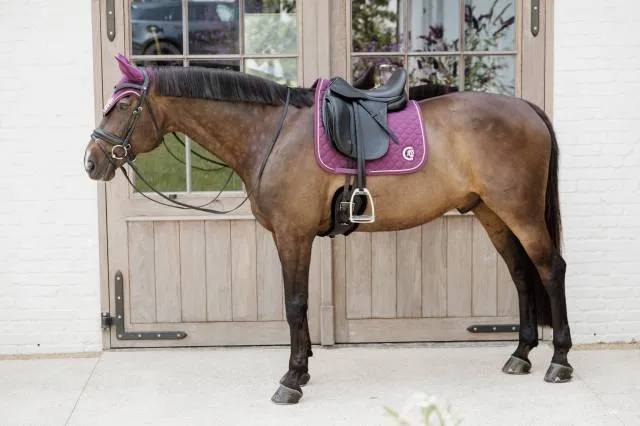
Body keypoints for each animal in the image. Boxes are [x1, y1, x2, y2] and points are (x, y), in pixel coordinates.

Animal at [84, 55, 573, 404]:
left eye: (123, 105)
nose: (92, 161)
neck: (273, 134)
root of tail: (527, 108)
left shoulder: (292, 234)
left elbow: (294, 303)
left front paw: (291, 379)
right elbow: (298, 305)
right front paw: (302, 368)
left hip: (521, 213)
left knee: (551, 269)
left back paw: (559, 361)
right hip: (493, 214)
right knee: (521, 274)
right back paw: (520, 354)